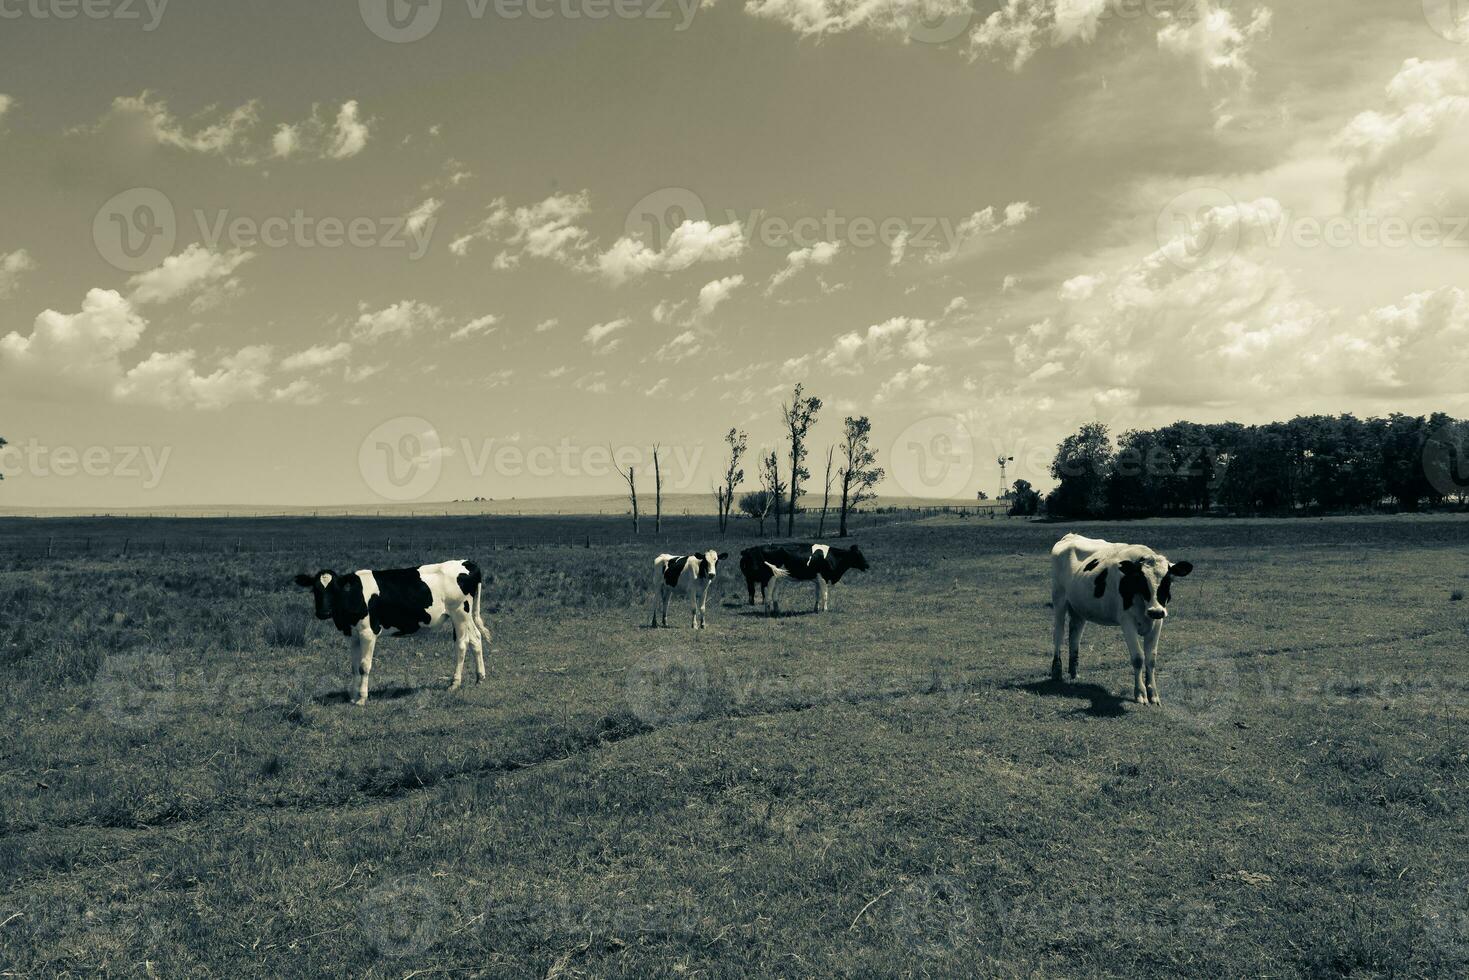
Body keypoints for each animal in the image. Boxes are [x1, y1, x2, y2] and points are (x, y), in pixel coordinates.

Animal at [295, 558, 496, 705]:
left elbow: (364, 666)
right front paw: (352, 696)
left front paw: (362, 698)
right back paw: (480, 678)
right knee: (476, 639)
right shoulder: (352, 635)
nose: (323, 612)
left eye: (335, 589)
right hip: (465, 616)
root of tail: (467, 562)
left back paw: (454, 683)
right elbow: (353, 666)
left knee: (461, 644)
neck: (353, 596)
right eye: (315, 589)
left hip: (459, 613)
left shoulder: (368, 632)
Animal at [1045, 537, 1192, 705]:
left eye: (1168, 580)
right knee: (1058, 634)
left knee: (1075, 635)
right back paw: (1057, 671)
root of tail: (1070, 536)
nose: (1155, 611)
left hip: (1079, 608)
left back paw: (1074, 673)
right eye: (1141, 580)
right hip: (1059, 599)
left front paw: (1153, 694)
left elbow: (1151, 659)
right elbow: (1138, 658)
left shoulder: (1157, 622)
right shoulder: (1127, 621)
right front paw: (1140, 693)